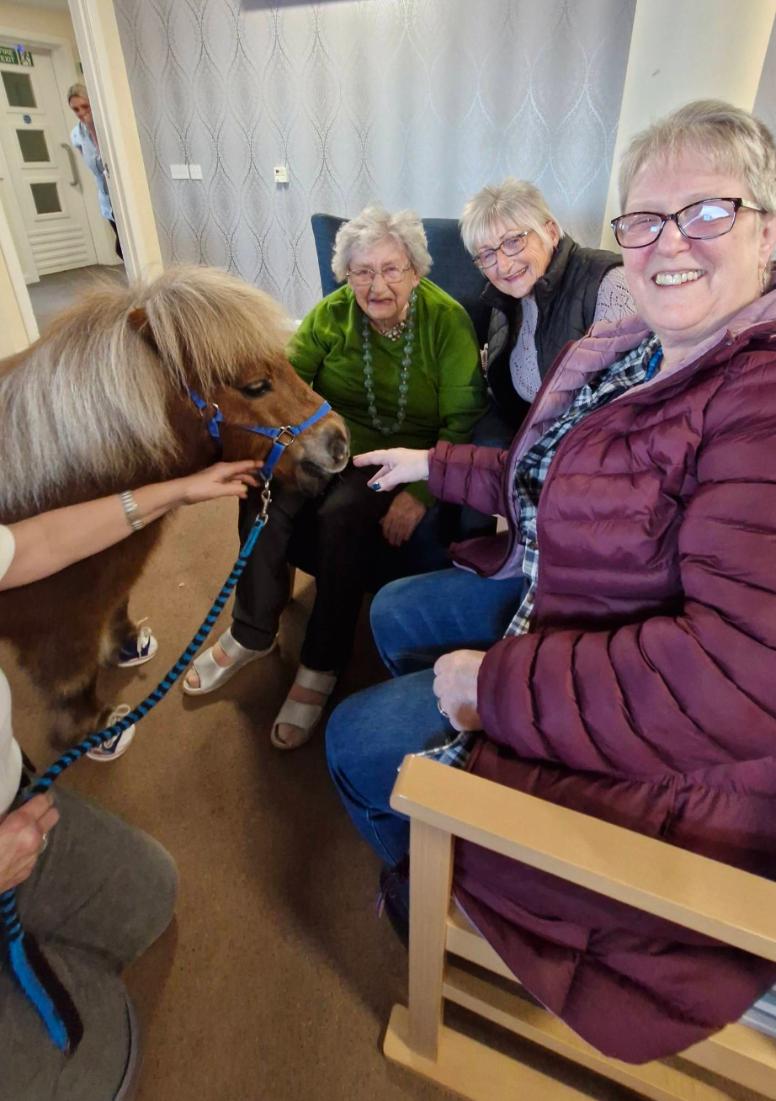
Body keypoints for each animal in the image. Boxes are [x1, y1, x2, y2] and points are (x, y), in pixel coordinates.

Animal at [0, 265, 349, 747]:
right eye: (255, 386)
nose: (339, 442)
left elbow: (119, 603)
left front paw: (126, 646)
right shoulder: (60, 624)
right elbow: (74, 678)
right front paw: (93, 727)